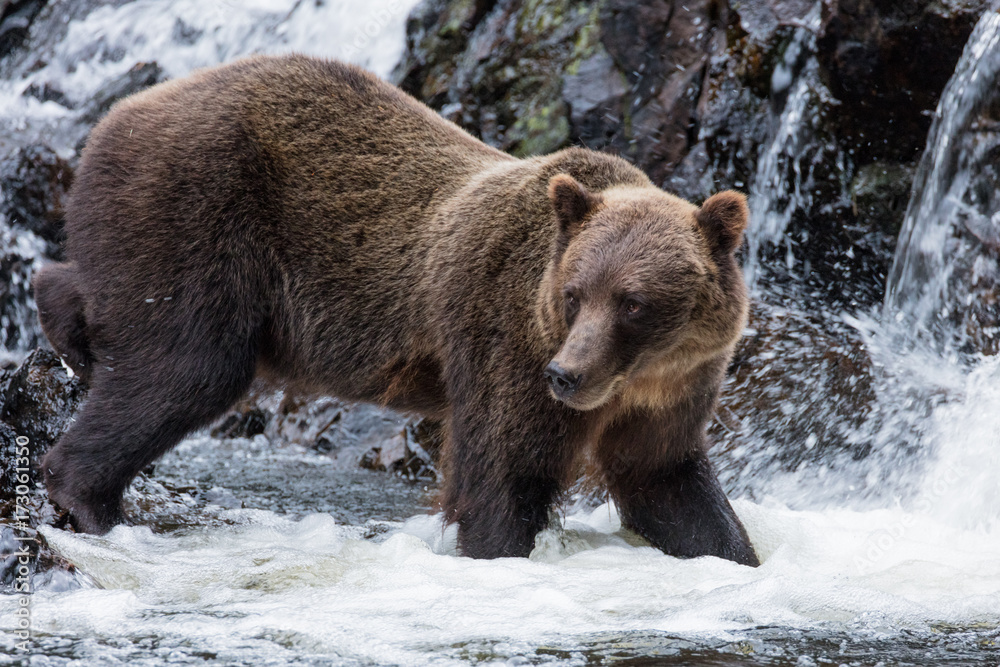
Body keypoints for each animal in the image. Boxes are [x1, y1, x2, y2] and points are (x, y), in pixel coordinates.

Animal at [34, 54, 759, 566]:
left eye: (633, 301)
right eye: (575, 292)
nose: (567, 374)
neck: (637, 373)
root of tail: (117, 112)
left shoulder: (671, 389)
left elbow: (665, 479)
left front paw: (732, 550)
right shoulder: (506, 335)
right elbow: (502, 471)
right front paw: (499, 551)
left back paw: (66, 328)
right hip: (198, 206)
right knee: (185, 362)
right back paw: (92, 502)